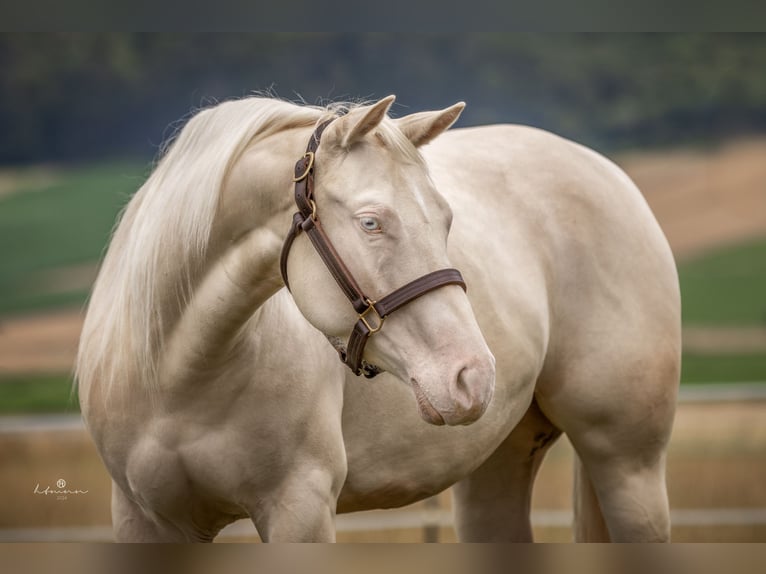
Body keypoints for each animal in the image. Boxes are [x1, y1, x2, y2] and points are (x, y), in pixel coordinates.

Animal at [75, 95, 680, 544]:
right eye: (371, 223)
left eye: (446, 219)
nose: (473, 377)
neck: (180, 376)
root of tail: (606, 171)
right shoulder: (145, 520)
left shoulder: (299, 509)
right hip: (498, 465)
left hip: (629, 464)